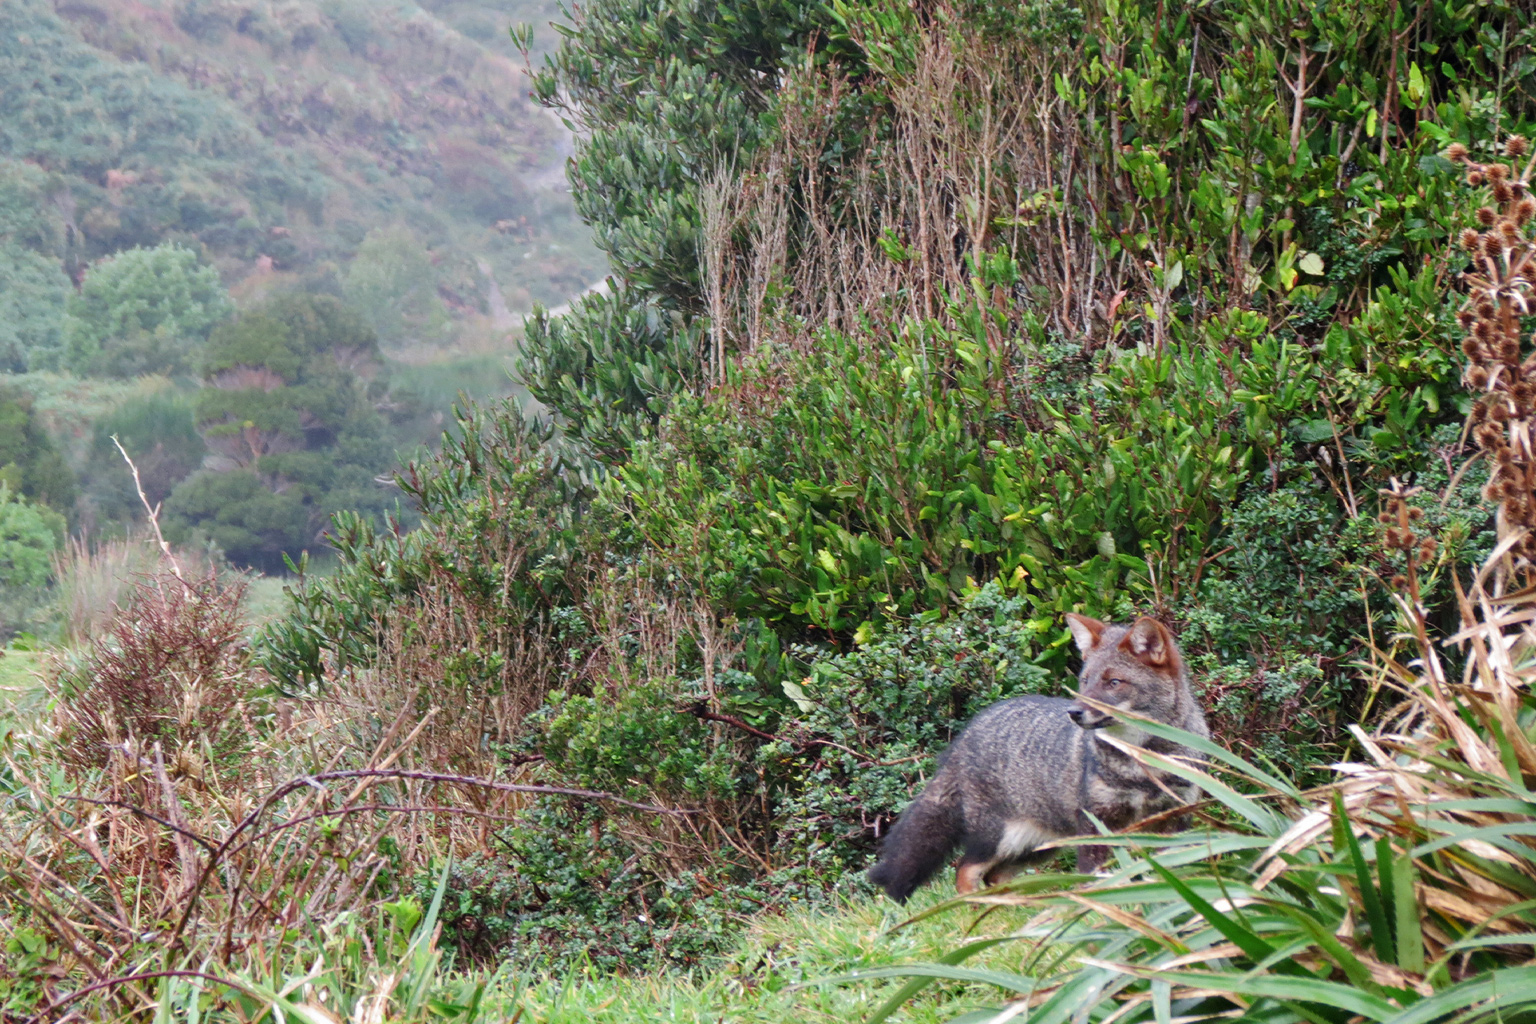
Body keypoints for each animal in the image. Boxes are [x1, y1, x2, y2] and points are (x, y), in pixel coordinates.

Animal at [867, 614, 1209, 902]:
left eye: (1113, 683)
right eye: (1085, 681)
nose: (1074, 712)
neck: (1141, 767)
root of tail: (965, 735)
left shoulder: (1175, 818)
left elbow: (1176, 870)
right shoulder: (1097, 824)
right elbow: (1095, 879)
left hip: (1039, 847)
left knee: (994, 877)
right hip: (1000, 840)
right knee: (964, 871)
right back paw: (978, 911)